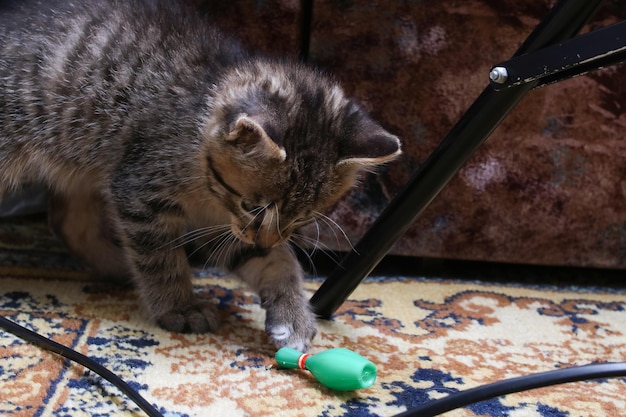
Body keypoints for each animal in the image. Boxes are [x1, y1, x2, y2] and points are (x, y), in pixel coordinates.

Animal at [0, 0, 400, 352]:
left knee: (67, 222)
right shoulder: (140, 192)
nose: (264, 240)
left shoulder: (220, 225)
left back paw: (117, 267)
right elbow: (160, 258)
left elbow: (280, 262)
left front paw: (293, 316)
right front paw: (179, 306)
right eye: (252, 206)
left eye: (301, 219)